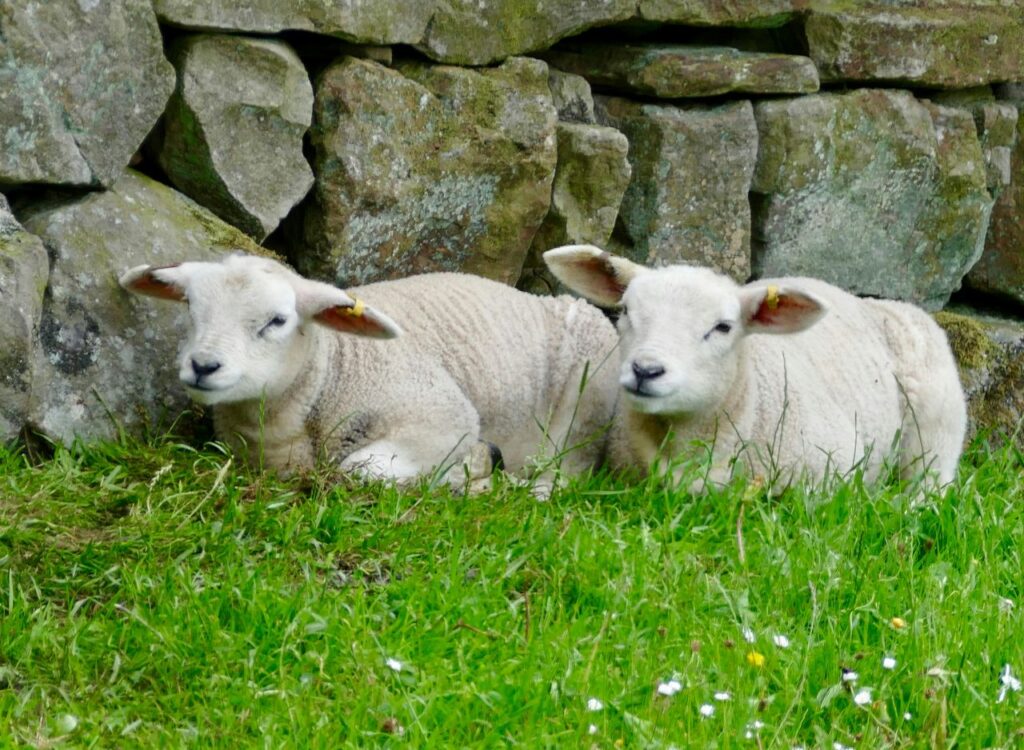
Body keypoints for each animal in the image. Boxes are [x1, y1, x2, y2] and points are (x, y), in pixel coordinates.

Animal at [119, 253, 619, 493]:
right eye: (190, 306)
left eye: (277, 321)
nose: (203, 365)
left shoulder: (445, 417)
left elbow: (359, 469)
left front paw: (469, 468)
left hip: (580, 420)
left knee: (558, 478)